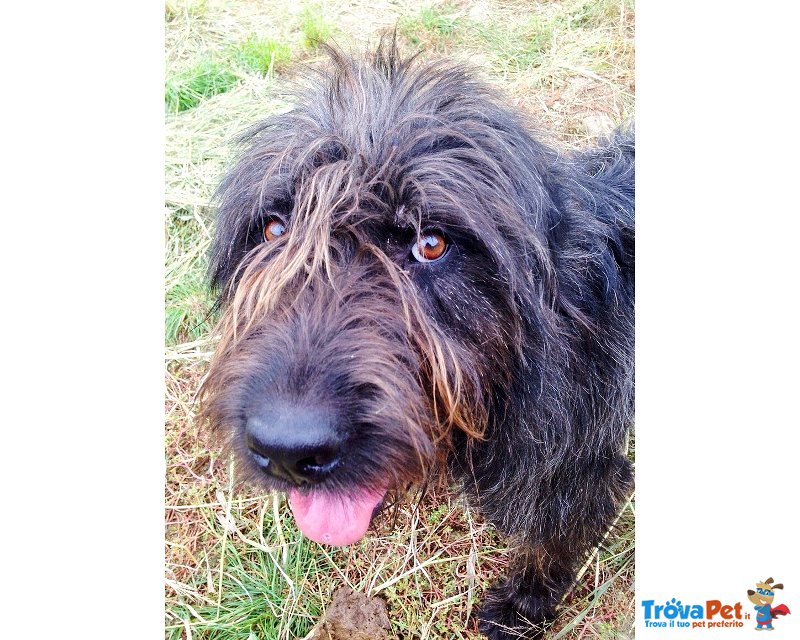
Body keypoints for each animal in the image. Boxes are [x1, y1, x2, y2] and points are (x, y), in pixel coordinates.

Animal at [202, 41, 636, 640]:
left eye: (431, 243)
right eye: (274, 229)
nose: (288, 449)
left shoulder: (576, 469)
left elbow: (553, 539)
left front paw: (522, 606)